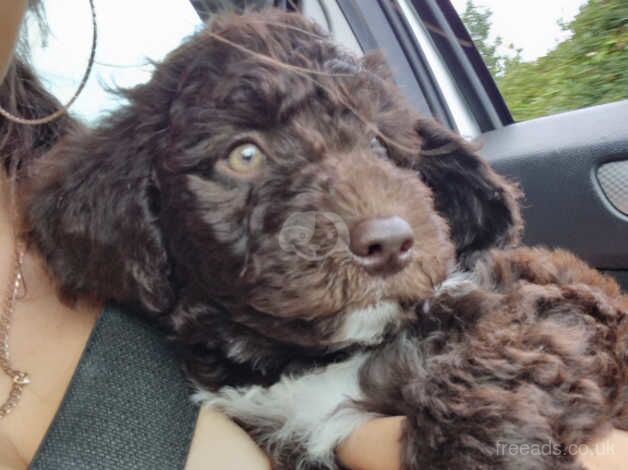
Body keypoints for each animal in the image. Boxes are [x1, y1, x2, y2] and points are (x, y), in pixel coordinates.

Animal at [22, 7, 624, 470]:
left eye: (381, 146)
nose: (389, 242)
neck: (319, 361)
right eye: (245, 154)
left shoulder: (557, 303)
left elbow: (494, 357)